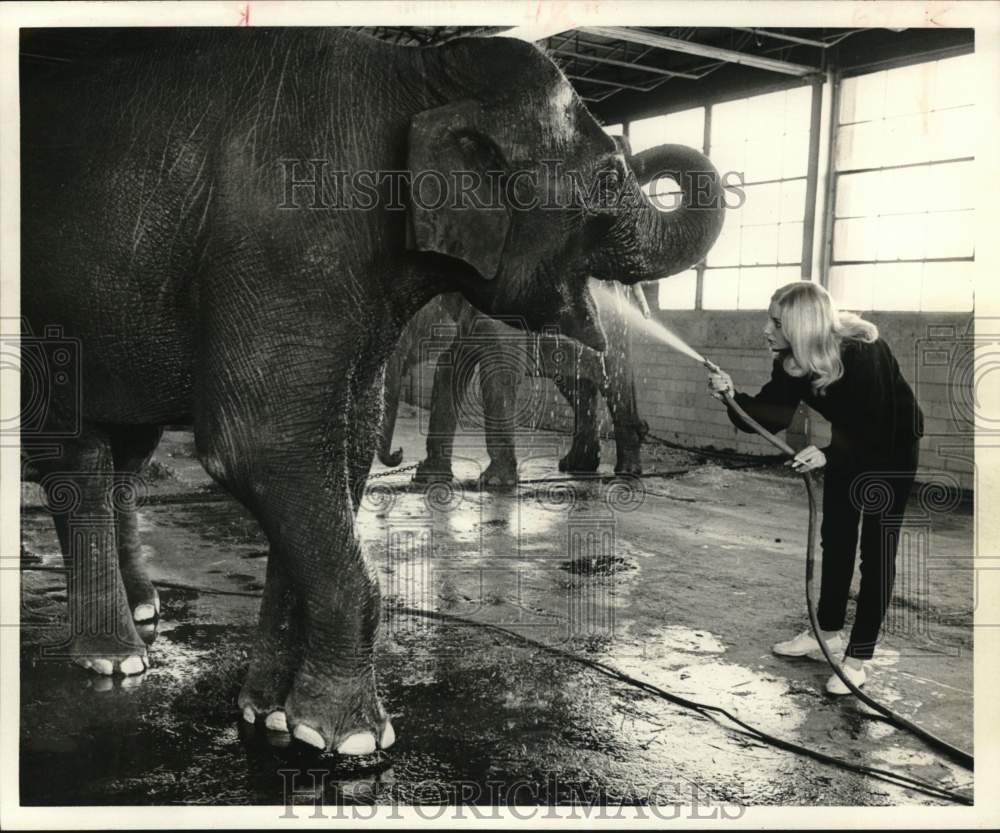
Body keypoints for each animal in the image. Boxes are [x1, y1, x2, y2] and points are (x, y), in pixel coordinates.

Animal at [378, 282, 652, 488]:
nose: (399, 453)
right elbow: (448, 373)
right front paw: (428, 479)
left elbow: (499, 371)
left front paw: (493, 483)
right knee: (576, 386)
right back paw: (575, 466)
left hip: (615, 328)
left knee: (611, 381)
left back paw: (626, 471)